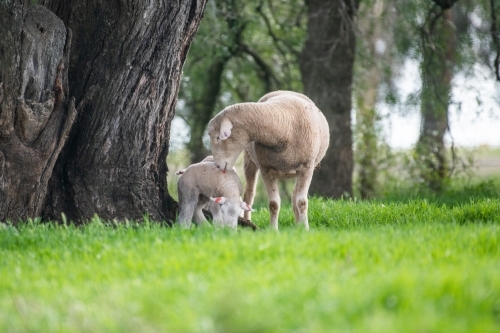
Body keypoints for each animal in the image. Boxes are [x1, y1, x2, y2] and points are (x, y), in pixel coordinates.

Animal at [205, 91, 330, 231]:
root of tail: (283, 91)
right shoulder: (266, 170)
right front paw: (273, 230)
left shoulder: (307, 167)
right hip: (250, 162)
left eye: (218, 137)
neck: (284, 126)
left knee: (294, 197)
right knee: (249, 195)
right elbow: (273, 204)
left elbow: (301, 202)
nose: (217, 165)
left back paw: (298, 225)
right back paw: (248, 221)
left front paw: (305, 229)